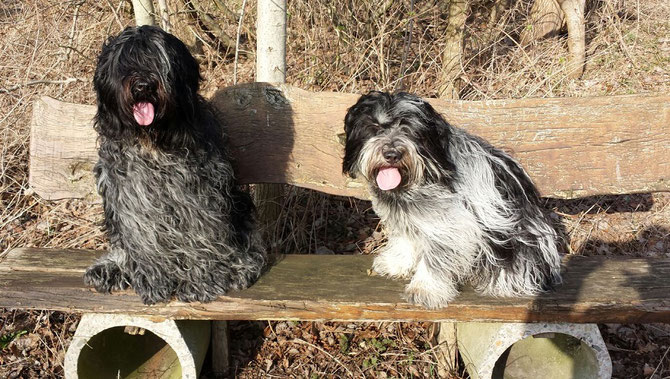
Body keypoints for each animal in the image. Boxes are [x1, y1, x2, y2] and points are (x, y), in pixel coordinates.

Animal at [82, 26, 266, 306]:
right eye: (125, 63)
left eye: (158, 62)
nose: (143, 86)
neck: (154, 142)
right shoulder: (131, 197)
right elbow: (143, 239)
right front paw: (154, 282)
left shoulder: (197, 194)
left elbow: (202, 235)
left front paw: (201, 282)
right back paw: (113, 268)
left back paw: (240, 267)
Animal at [344, 91, 564, 308]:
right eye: (374, 127)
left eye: (409, 130)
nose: (391, 154)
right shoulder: (408, 216)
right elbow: (406, 239)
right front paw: (396, 263)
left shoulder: (449, 224)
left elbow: (435, 258)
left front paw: (425, 288)